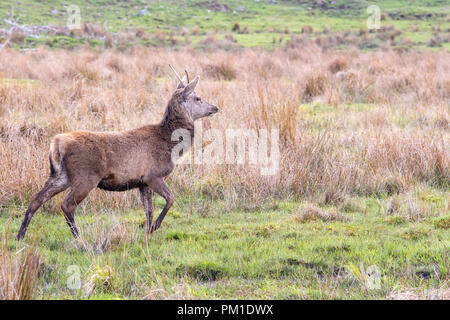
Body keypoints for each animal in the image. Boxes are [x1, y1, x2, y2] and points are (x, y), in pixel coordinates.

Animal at [15, 68, 216, 242]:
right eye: (198, 98)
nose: (215, 107)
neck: (170, 144)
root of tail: (56, 143)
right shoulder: (153, 175)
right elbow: (170, 199)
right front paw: (154, 227)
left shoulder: (142, 182)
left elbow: (148, 210)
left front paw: (147, 232)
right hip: (86, 176)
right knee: (67, 205)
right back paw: (79, 238)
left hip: (60, 175)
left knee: (36, 199)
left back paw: (20, 236)